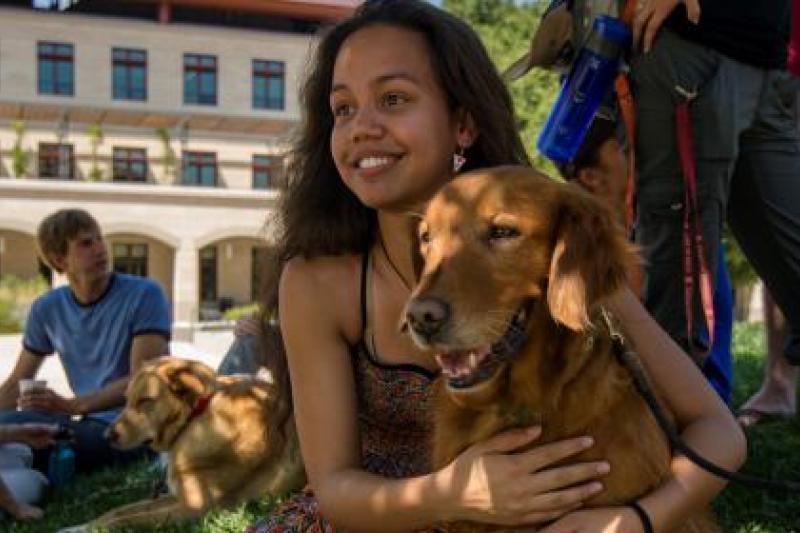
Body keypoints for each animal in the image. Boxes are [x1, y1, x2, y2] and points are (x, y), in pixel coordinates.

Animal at [61, 356, 304, 528]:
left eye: (145, 401)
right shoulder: (178, 496)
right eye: (126, 400)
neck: (195, 416)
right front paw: (78, 526)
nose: (106, 436)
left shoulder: (195, 508)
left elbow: (124, 519)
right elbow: (118, 511)